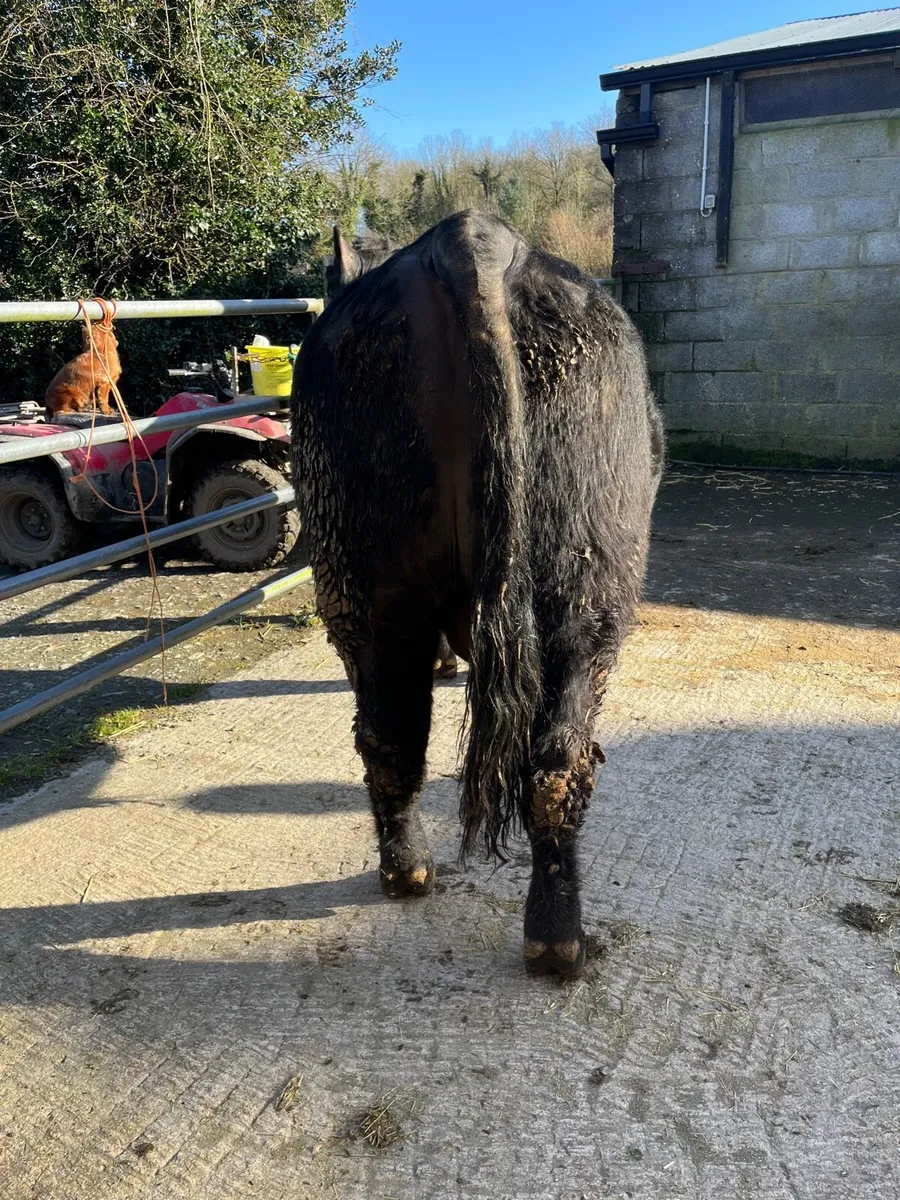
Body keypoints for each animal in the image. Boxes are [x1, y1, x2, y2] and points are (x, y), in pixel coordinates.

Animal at [292, 210, 664, 977]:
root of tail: (470, 236)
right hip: (575, 586)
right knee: (527, 756)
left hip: (388, 585)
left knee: (411, 738)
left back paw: (445, 889)